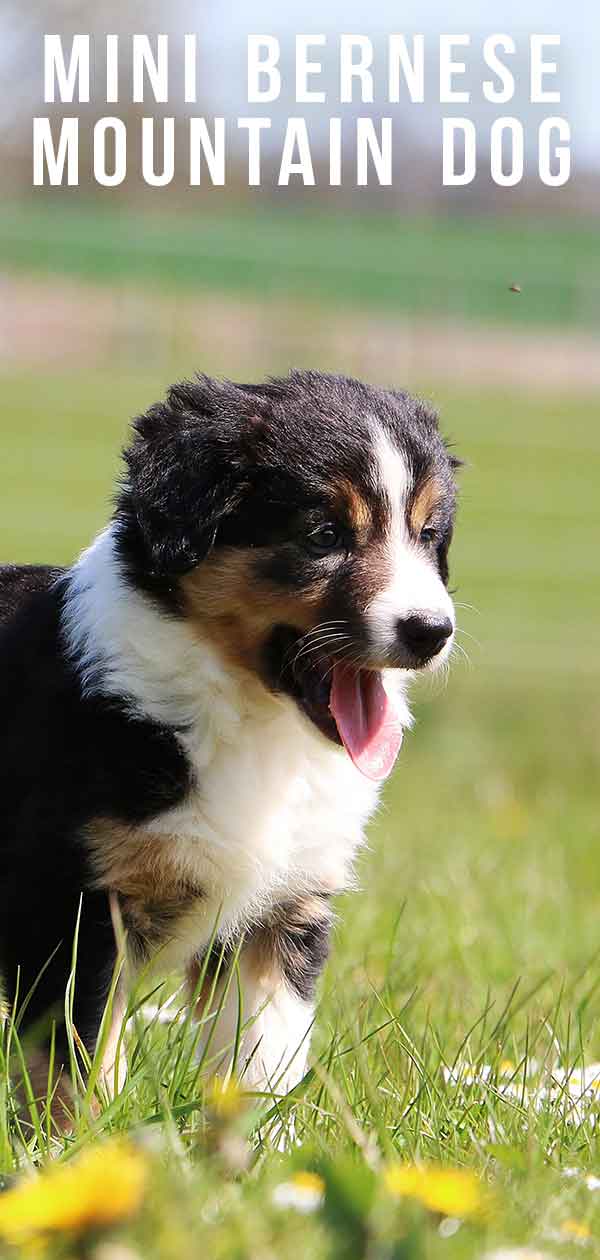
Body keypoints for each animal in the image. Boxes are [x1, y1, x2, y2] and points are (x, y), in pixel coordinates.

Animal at [1, 370, 458, 1103]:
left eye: (429, 533)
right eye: (324, 534)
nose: (432, 631)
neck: (253, 719)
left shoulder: (281, 912)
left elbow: (260, 1066)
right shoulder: (70, 902)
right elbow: (69, 1071)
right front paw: (76, 1136)